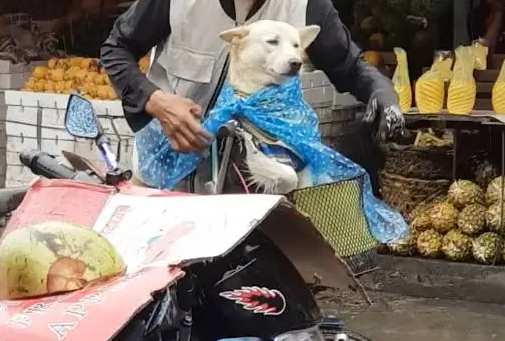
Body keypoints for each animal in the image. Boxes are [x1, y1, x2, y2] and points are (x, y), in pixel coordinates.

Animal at [218, 20, 318, 194]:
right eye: (272, 41)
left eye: (296, 45)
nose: (296, 63)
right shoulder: (266, 151)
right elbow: (287, 175)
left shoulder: (304, 159)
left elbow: (306, 187)